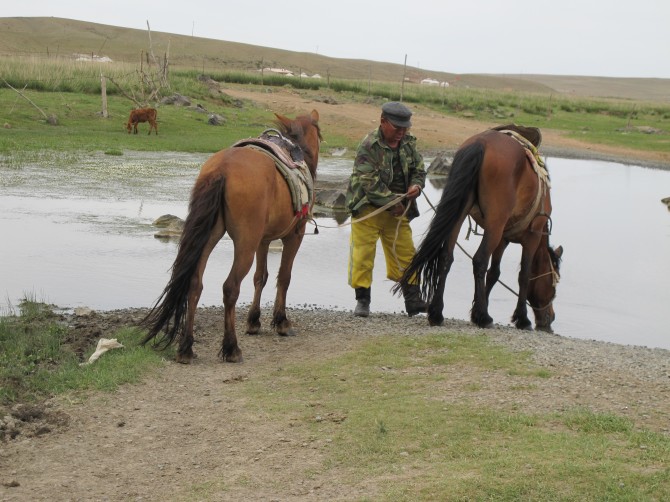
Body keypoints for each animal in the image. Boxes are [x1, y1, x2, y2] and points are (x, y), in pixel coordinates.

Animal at [142, 110, 322, 360]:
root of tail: (223, 169)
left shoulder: (263, 240)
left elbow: (261, 277)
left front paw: (254, 321)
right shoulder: (295, 235)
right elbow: (283, 277)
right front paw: (281, 322)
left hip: (210, 236)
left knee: (195, 284)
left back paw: (186, 347)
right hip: (245, 243)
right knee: (230, 287)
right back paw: (231, 347)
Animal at [396, 124, 564, 332]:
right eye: (553, 287)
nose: (550, 318)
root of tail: (480, 143)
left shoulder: (503, 237)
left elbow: (494, 273)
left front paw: (476, 308)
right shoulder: (531, 236)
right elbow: (523, 275)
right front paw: (521, 319)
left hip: (461, 215)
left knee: (446, 257)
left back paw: (437, 313)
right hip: (494, 224)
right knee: (479, 260)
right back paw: (484, 317)